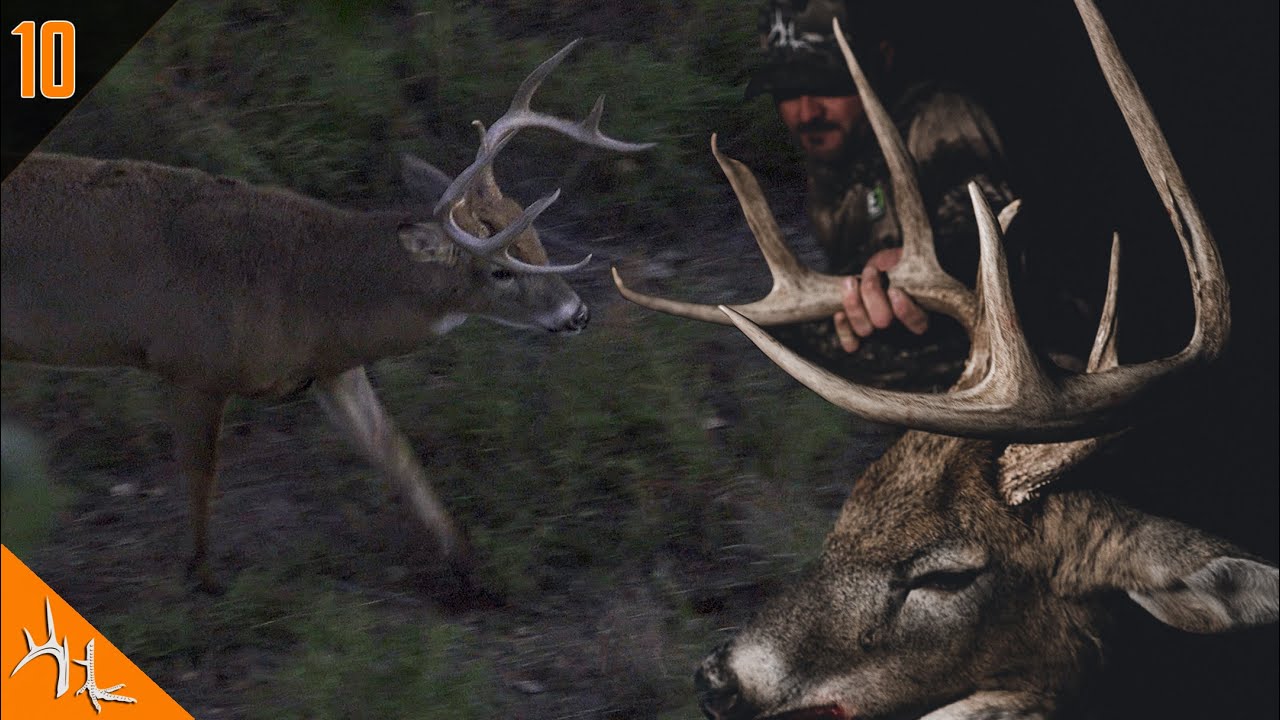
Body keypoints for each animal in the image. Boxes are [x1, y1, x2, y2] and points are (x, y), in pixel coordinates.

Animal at [0, 40, 652, 592]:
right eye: (500, 271)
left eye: (538, 239)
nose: (577, 313)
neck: (308, 288)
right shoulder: (191, 365)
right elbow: (201, 474)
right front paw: (202, 577)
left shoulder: (333, 369)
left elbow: (395, 453)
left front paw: (473, 572)